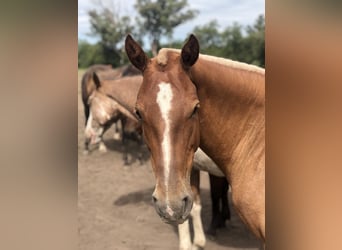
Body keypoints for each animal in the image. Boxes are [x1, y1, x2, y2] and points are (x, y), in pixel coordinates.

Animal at [89, 73, 231, 250]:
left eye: (90, 102)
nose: (88, 135)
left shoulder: (190, 170)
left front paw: (190, 243)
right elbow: (197, 205)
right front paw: (199, 240)